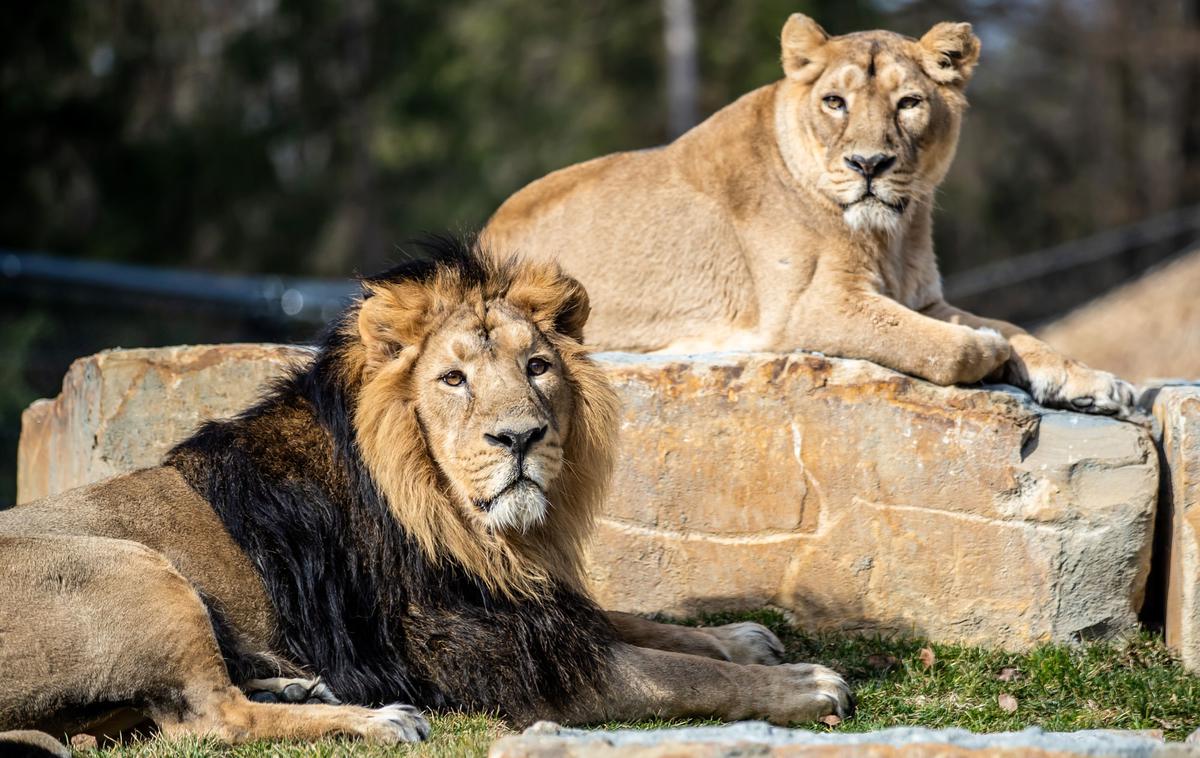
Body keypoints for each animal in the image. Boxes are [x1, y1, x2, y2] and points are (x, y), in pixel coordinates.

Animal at [0, 238, 854, 753]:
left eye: (538, 366)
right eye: (453, 379)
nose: (520, 438)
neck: (461, 522)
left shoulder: (521, 605)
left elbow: (635, 622)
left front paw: (742, 635)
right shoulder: (508, 663)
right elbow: (679, 676)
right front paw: (802, 685)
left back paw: (299, 682)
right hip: (132, 566)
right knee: (205, 722)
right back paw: (379, 718)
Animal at [480, 13, 1132, 414]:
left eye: (909, 103)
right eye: (835, 102)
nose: (869, 164)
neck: (893, 233)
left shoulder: (923, 298)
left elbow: (1018, 329)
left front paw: (1096, 383)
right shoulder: (809, 308)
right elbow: (947, 345)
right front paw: (990, 352)